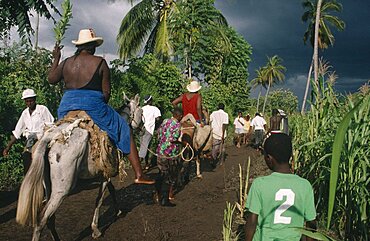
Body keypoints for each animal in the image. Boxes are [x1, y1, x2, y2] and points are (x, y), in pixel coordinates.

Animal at [15, 94, 142, 241]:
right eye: (141, 112)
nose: (141, 128)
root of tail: (50, 138)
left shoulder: (104, 173)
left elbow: (111, 190)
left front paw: (117, 211)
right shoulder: (106, 173)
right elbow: (99, 199)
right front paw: (96, 229)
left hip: (48, 186)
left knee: (50, 218)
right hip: (62, 190)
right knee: (41, 219)